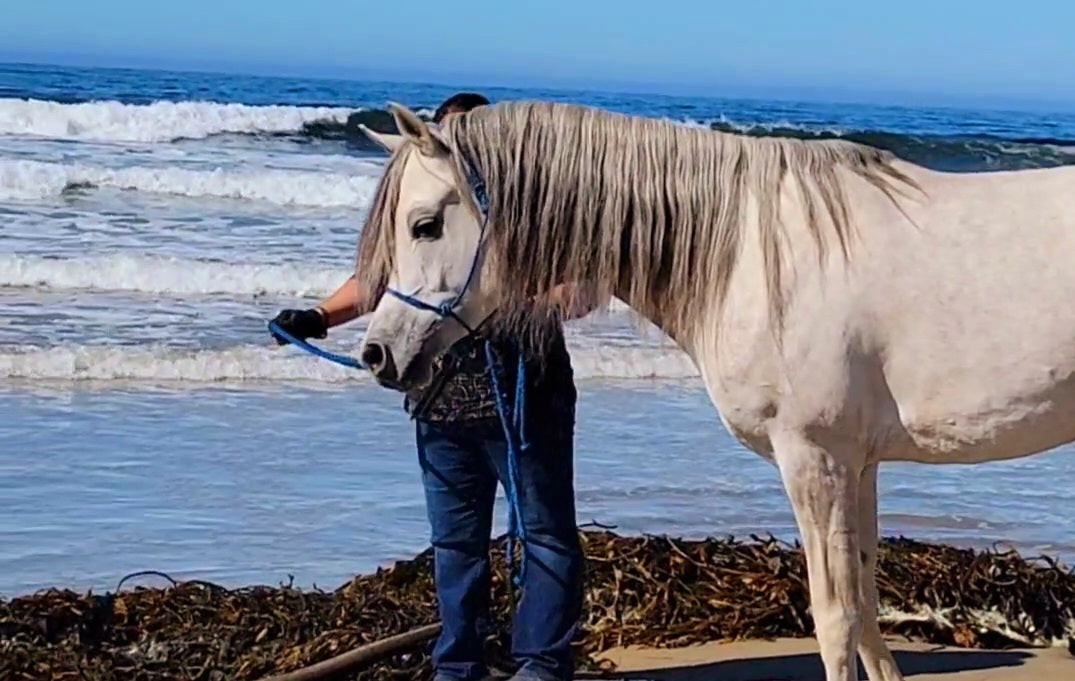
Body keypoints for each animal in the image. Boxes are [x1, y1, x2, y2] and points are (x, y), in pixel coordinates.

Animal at [350, 100, 1075, 681]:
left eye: (423, 224)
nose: (378, 354)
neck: (752, 254)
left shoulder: (814, 459)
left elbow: (836, 617)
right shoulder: (857, 464)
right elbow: (867, 612)